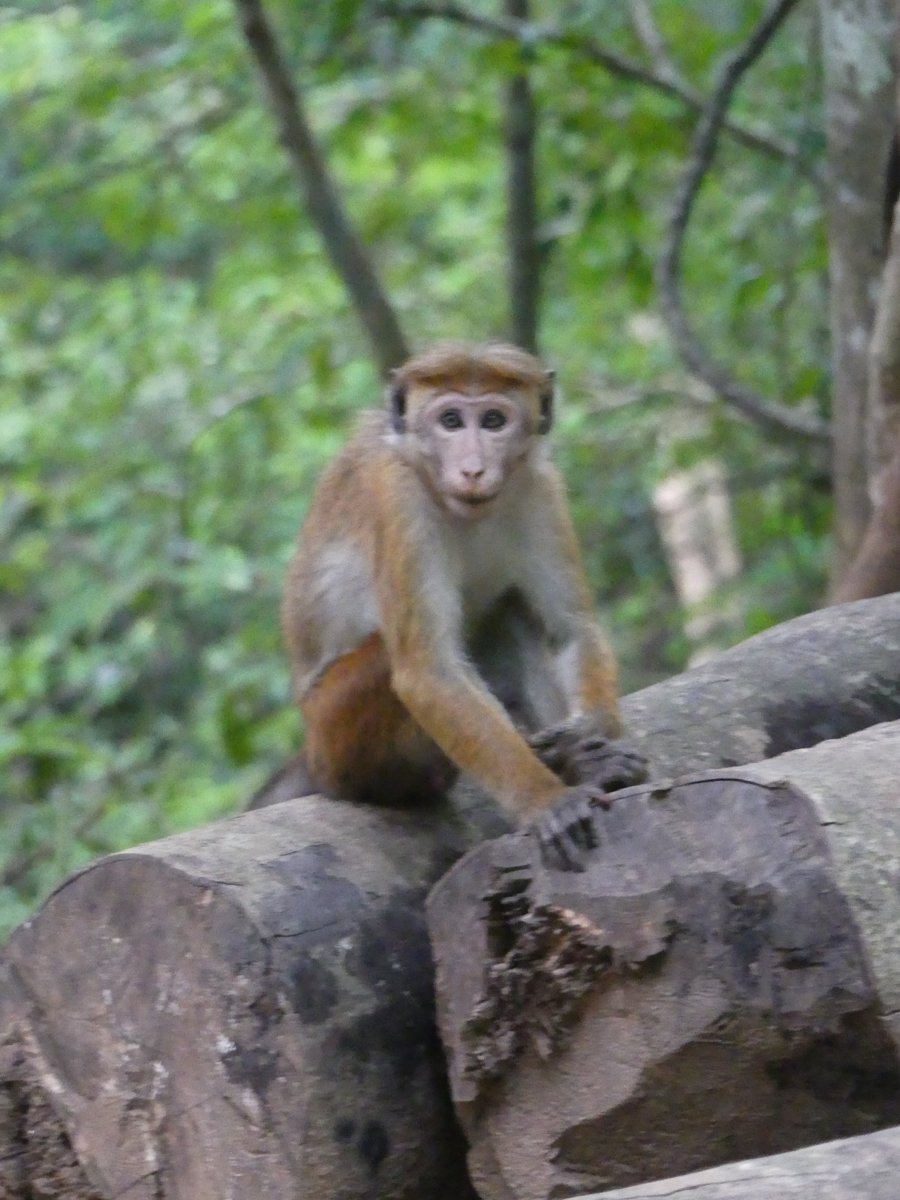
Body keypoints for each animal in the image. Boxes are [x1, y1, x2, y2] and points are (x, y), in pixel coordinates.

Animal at [280, 342, 646, 868]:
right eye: (451, 421)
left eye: (493, 420)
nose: (473, 469)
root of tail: (311, 750)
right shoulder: (398, 500)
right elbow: (427, 670)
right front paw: (545, 799)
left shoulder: (540, 486)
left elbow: (572, 629)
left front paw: (592, 733)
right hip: (335, 734)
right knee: (389, 658)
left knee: (511, 609)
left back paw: (581, 762)